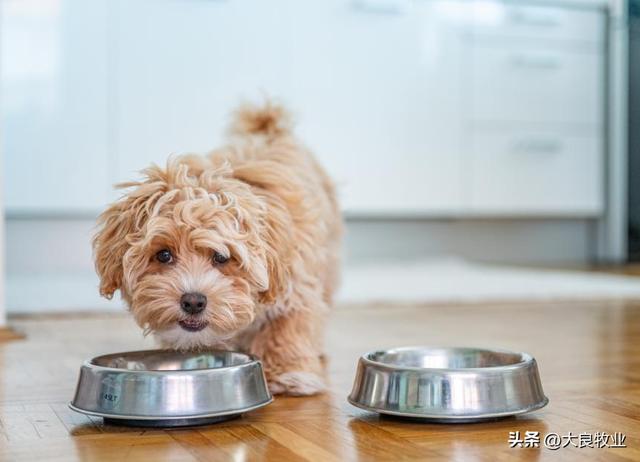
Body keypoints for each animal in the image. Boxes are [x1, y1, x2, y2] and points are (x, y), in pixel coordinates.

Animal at [92, 103, 342, 396]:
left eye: (221, 257)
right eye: (164, 255)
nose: (193, 302)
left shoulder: (296, 286)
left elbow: (286, 326)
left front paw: (288, 373)